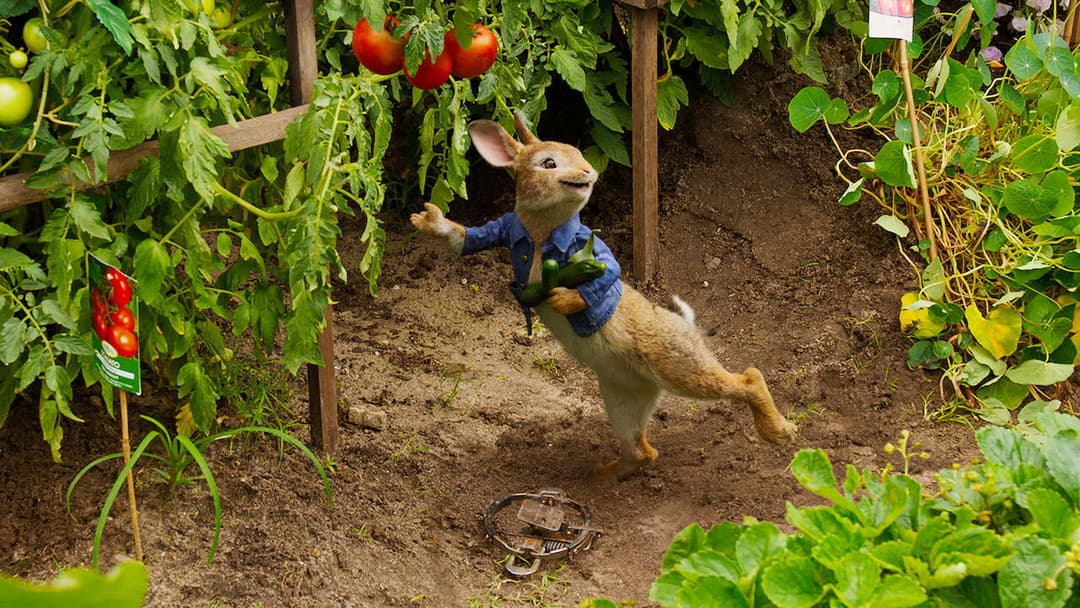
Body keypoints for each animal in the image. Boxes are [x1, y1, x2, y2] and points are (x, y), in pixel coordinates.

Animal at [410, 112, 796, 481]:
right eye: (548, 163)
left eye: (579, 153)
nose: (588, 173)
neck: (541, 235)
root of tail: (687, 327)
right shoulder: (506, 229)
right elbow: (470, 237)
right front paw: (426, 219)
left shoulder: (589, 251)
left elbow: (606, 271)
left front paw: (562, 300)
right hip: (622, 400)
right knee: (643, 452)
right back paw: (600, 479)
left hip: (678, 367)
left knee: (747, 380)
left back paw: (779, 432)